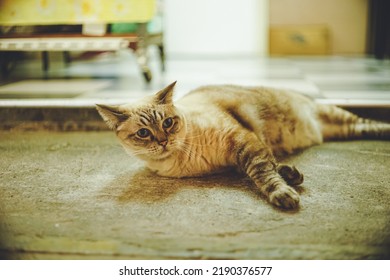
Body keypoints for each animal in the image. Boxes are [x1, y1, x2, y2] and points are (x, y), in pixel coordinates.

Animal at [95, 81, 390, 210]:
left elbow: (263, 173)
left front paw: (283, 194)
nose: (164, 141)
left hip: (338, 116)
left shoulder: (243, 141)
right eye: (144, 133)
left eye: (168, 123)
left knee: (370, 124)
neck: (181, 160)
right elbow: (271, 167)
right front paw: (290, 177)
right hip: (342, 129)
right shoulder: (238, 158)